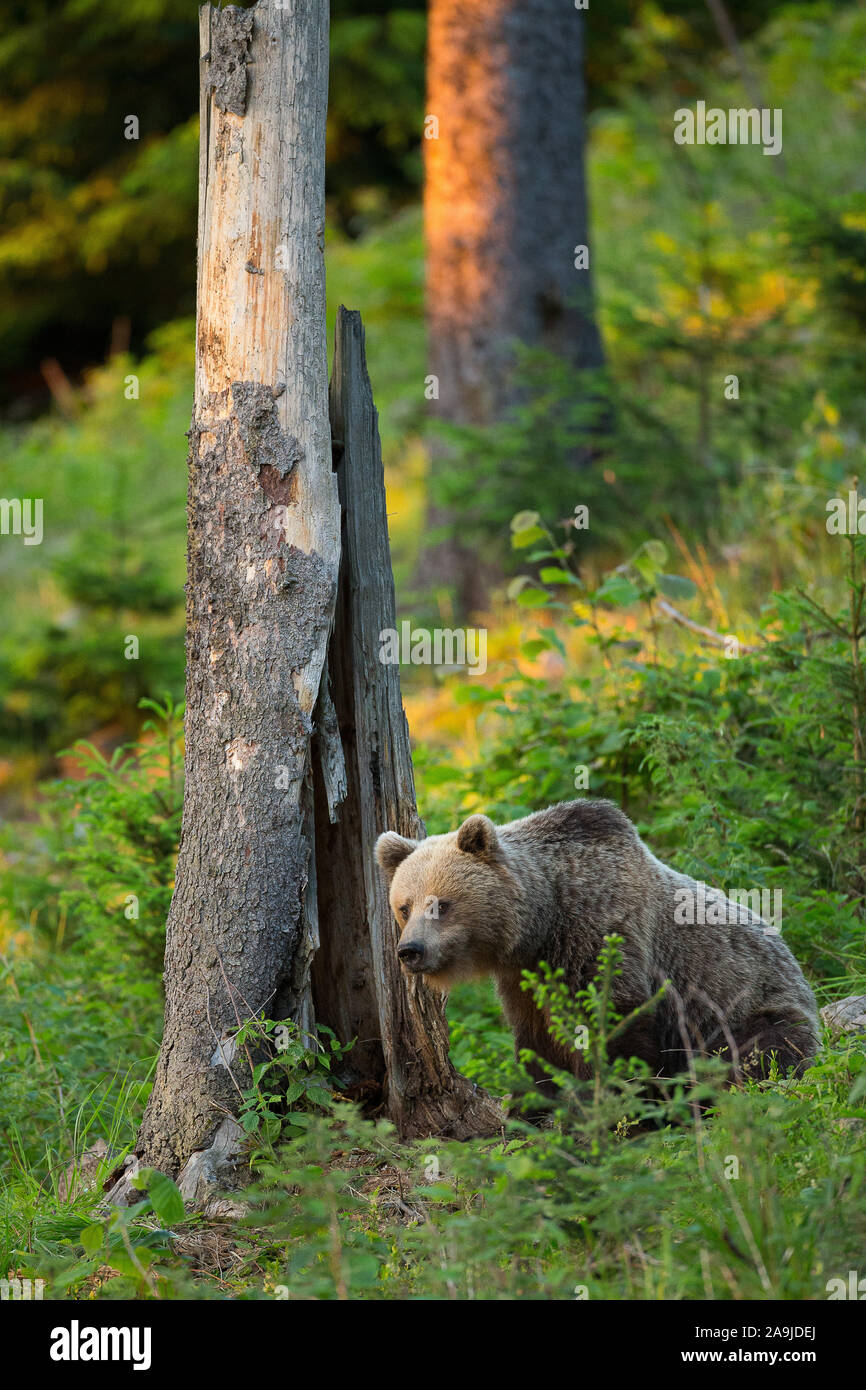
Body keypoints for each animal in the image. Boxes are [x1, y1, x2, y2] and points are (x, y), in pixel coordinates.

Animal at [372, 806, 817, 1084]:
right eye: (404, 907)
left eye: (440, 904)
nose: (410, 951)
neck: (543, 922)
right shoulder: (525, 978)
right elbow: (537, 1042)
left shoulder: (602, 936)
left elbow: (612, 1025)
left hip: (748, 1005)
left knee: (764, 1052)